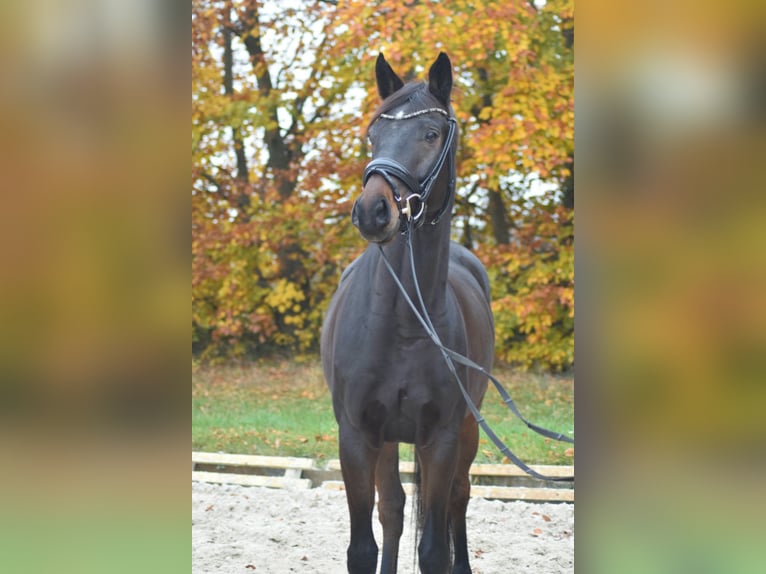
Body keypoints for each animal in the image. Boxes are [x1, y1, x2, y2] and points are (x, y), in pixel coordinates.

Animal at [320, 51, 496, 572]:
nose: (373, 211)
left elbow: (434, 546)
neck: (401, 321)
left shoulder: (441, 437)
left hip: (468, 429)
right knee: (394, 508)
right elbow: (366, 542)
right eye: (372, 135)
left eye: (431, 133)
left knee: (459, 496)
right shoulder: (358, 435)